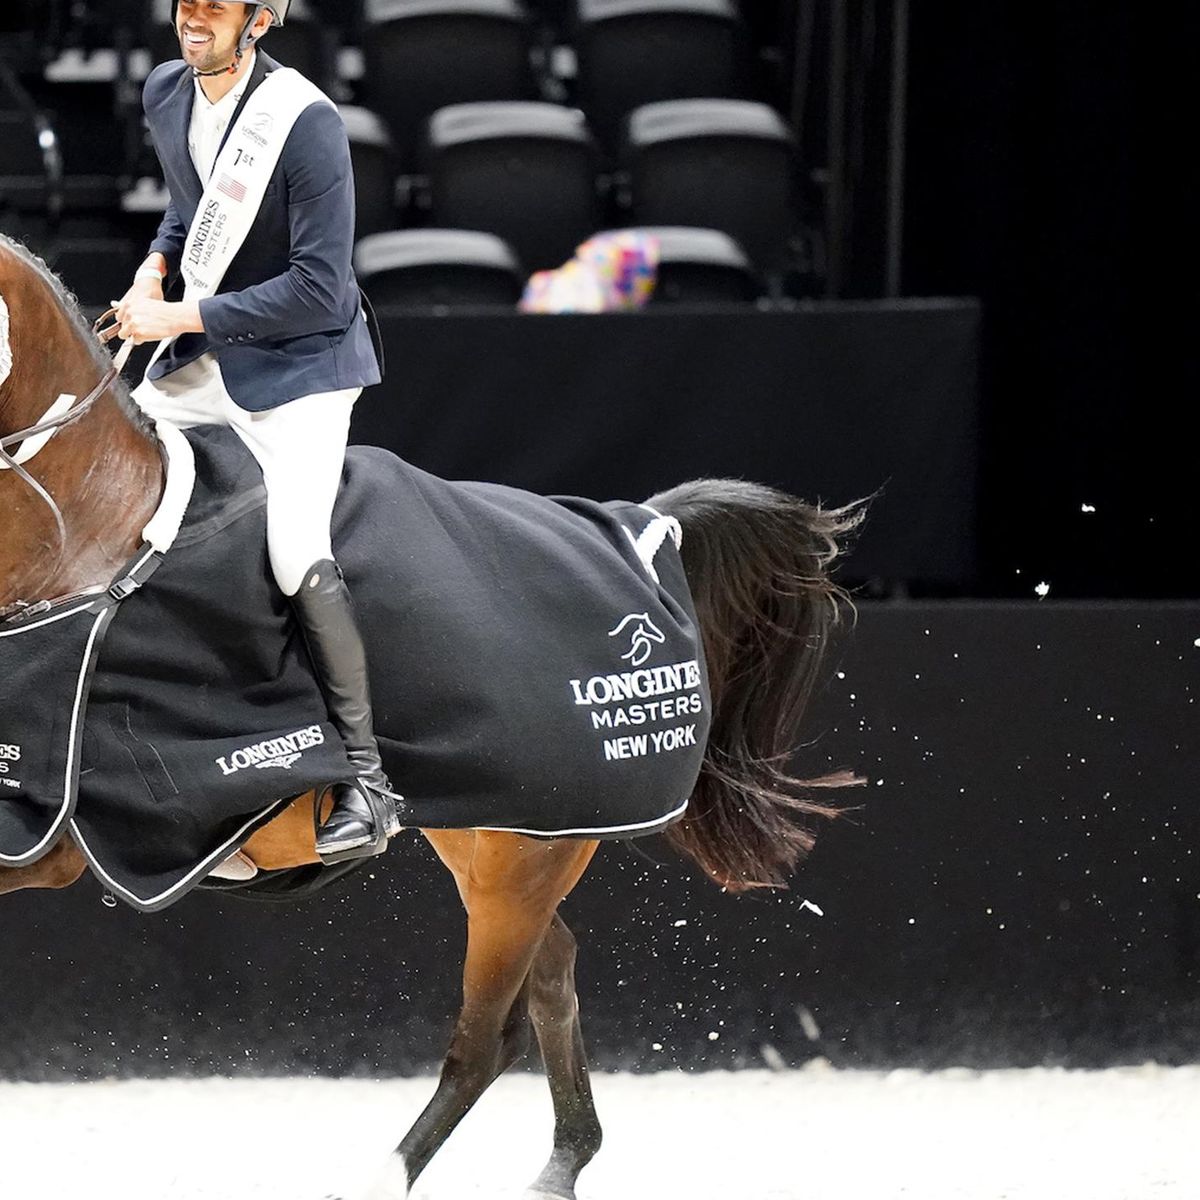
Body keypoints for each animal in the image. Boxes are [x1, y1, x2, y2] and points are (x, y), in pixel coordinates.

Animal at [0, 232, 864, 1200]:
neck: (95, 538)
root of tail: (643, 532)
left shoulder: (59, 837)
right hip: (493, 835)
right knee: (552, 976)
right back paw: (560, 1166)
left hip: (526, 858)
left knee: (488, 1035)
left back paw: (387, 1177)